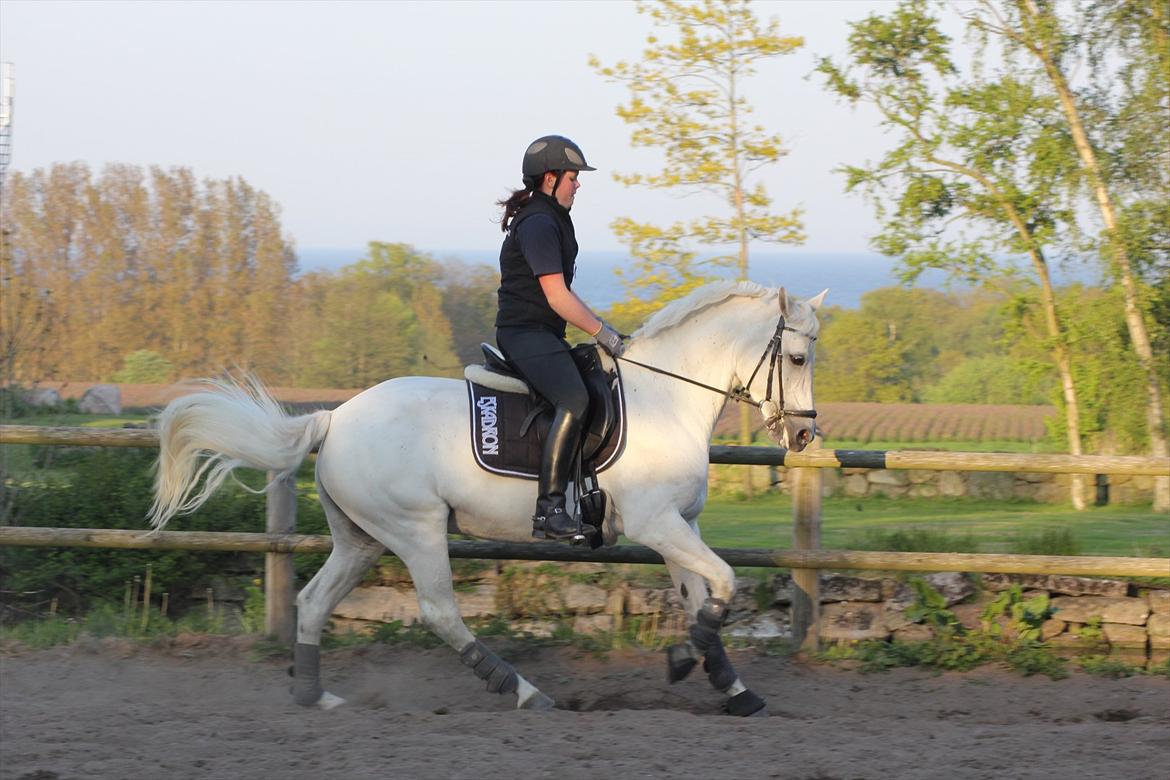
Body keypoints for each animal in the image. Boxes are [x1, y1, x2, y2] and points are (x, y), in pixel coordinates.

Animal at [148, 280, 823, 720]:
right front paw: (689, 660)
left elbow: (702, 596)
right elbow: (725, 581)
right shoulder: (657, 523)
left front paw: (725, 682)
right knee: (441, 613)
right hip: (417, 529)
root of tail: (334, 419)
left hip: (362, 539)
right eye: (795, 357)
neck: (666, 399)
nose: (803, 436)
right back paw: (523, 691)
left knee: (313, 603)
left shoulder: (681, 524)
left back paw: (315, 697)